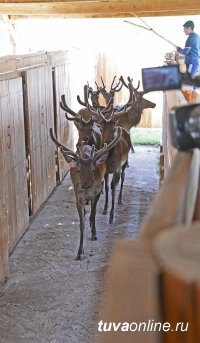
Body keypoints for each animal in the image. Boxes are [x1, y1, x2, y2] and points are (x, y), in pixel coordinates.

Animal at [49, 126, 122, 260]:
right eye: (78, 170)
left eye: (93, 169)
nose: (86, 186)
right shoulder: (79, 197)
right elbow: (81, 224)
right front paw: (80, 252)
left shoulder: (96, 193)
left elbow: (94, 214)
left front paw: (94, 234)